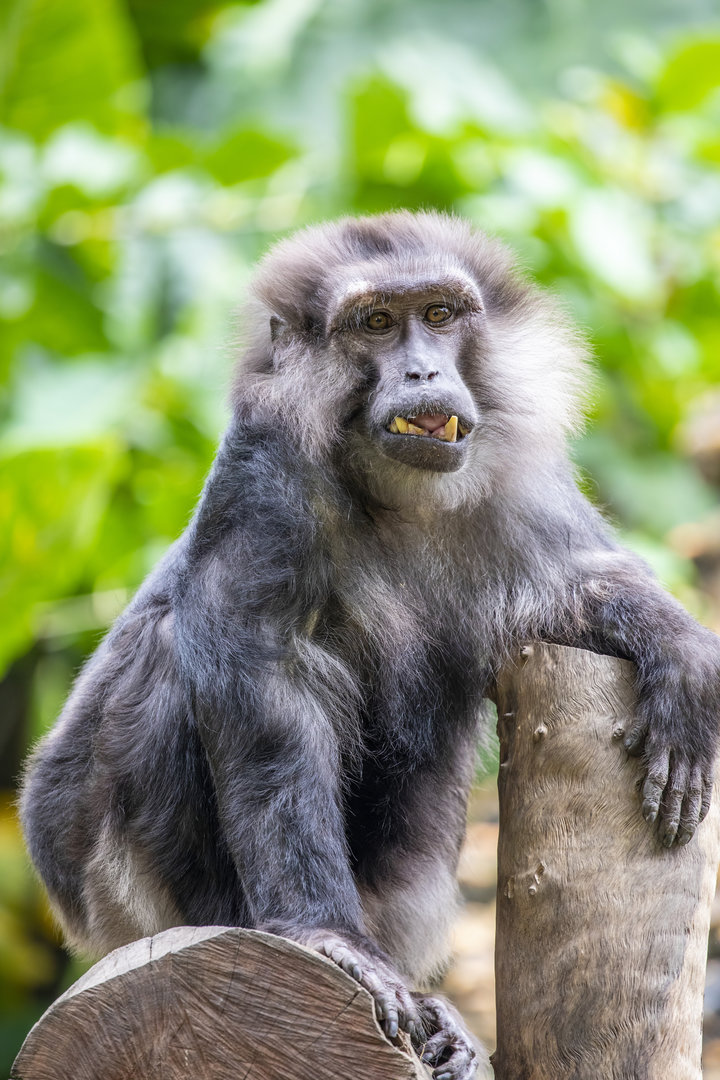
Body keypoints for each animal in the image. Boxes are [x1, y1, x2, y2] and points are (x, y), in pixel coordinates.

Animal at [20, 211, 720, 1080]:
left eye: (441, 315)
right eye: (378, 323)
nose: (421, 370)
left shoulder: (520, 474)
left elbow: (572, 584)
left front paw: (679, 650)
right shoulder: (266, 470)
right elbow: (264, 680)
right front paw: (326, 936)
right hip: (120, 888)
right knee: (173, 649)